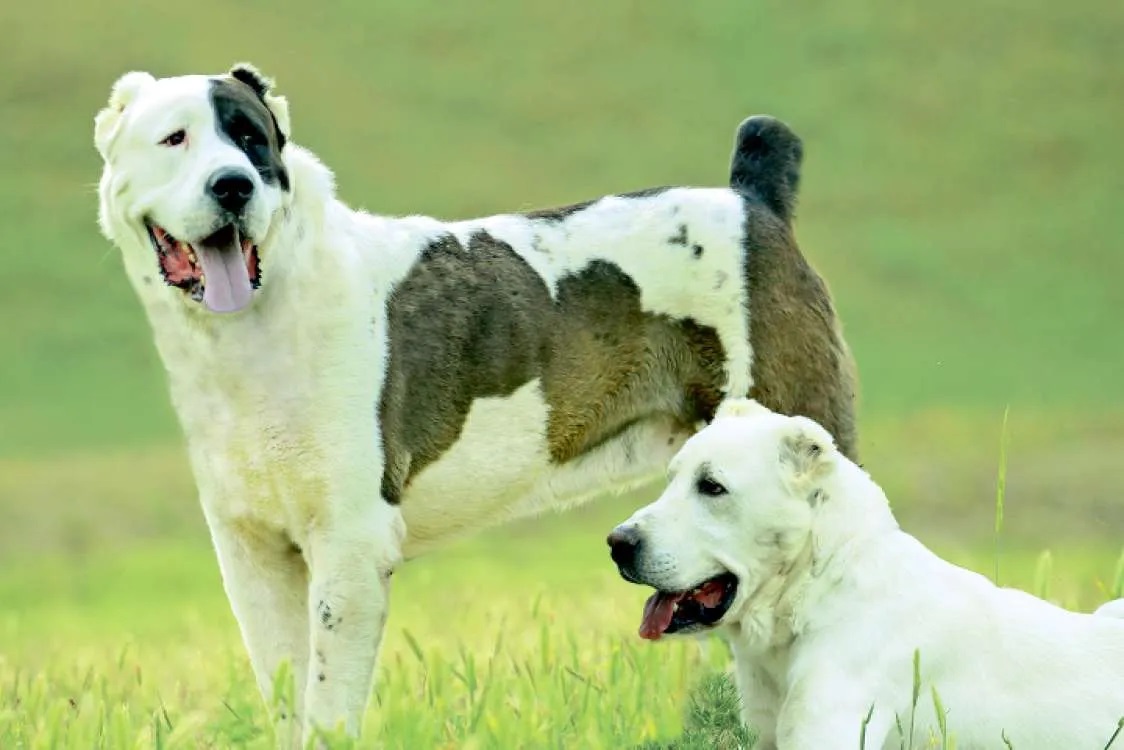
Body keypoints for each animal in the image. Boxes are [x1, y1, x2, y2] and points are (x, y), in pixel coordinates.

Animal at [96, 66, 854, 746]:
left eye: (251, 138)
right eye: (175, 139)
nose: (234, 184)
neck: (255, 321)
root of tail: (751, 201)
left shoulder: (350, 545)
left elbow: (328, 704)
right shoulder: (250, 550)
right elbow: (286, 690)